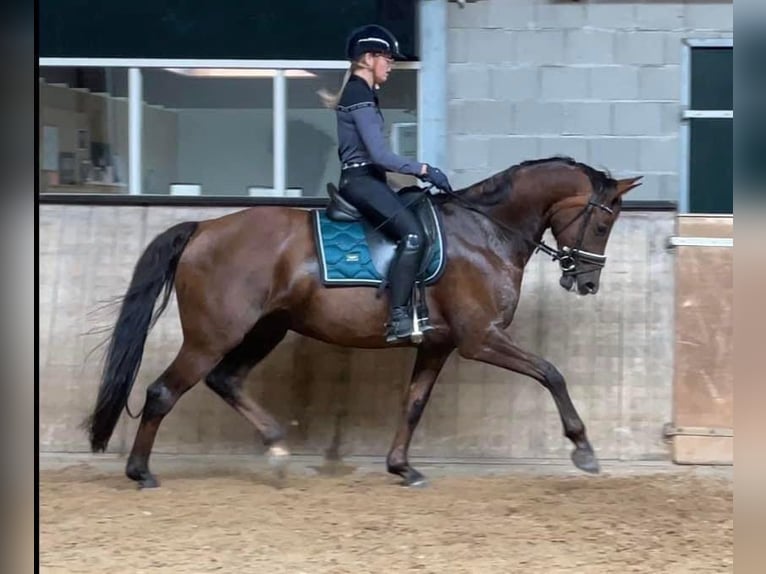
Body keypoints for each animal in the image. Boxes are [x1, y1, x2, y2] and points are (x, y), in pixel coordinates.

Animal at [84, 158, 640, 490]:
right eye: (604, 222)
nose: (587, 283)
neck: (484, 232)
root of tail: (202, 228)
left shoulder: (437, 345)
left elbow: (413, 403)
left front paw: (403, 468)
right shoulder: (480, 339)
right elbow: (551, 373)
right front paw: (584, 450)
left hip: (267, 328)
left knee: (226, 380)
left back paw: (278, 450)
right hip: (213, 335)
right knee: (163, 391)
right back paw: (141, 472)